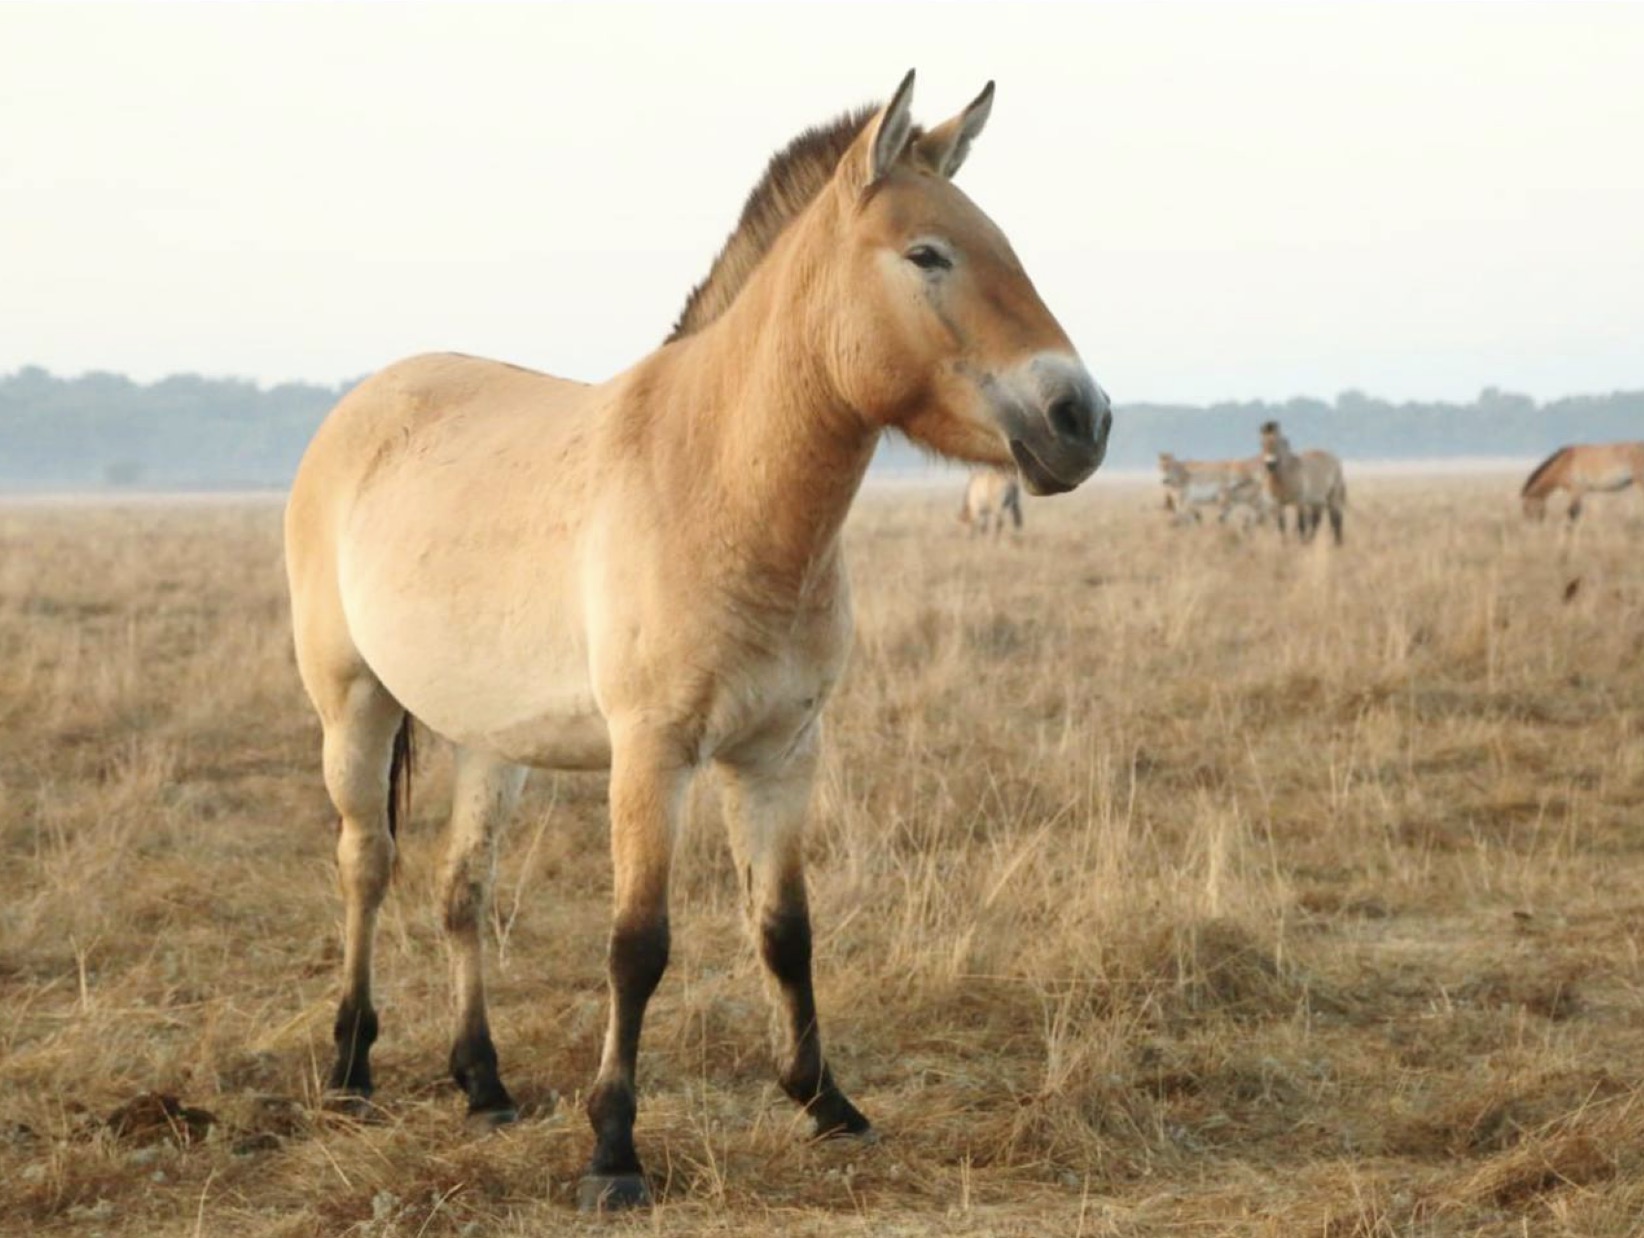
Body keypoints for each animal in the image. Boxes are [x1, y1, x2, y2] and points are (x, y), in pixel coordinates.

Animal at [282, 69, 1111, 1210]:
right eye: (928, 255)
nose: (1084, 419)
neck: (719, 481)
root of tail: (361, 404)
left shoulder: (779, 753)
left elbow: (786, 930)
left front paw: (828, 1103)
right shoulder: (653, 753)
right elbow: (639, 944)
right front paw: (613, 1151)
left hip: (493, 741)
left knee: (461, 893)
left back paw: (484, 1083)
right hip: (351, 706)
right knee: (365, 866)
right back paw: (350, 1068)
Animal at [1512, 440, 1644, 519]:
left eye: (1526, 508)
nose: (1532, 527)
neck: (1565, 462)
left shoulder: (1576, 491)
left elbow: (1572, 515)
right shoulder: (1577, 493)